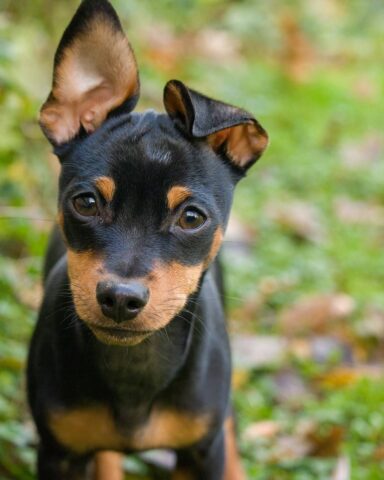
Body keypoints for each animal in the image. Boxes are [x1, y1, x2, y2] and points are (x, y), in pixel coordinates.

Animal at [27, 1, 268, 478]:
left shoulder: (200, 452)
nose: (120, 298)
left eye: (191, 217)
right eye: (85, 203)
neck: (135, 370)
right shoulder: (58, 452)